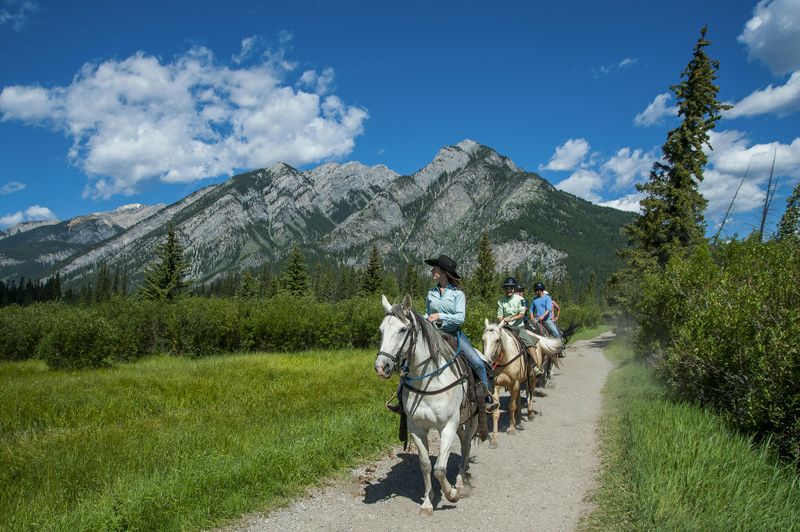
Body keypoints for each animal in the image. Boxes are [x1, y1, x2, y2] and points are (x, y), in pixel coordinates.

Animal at [374, 294, 480, 515]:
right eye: (381, 330)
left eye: (403, 329)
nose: (381, 367)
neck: (429, 382)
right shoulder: (416, 428)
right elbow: (425, 465)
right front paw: (427, 501)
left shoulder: (447, 426)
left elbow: (440, 468)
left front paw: (451, 494)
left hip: (471, 419)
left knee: (466, 446)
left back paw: (460, 481)